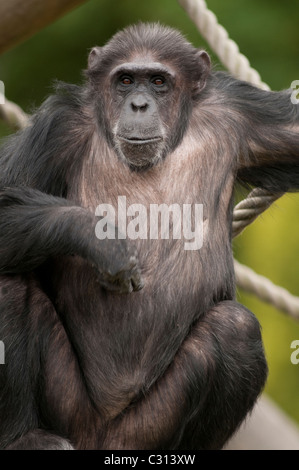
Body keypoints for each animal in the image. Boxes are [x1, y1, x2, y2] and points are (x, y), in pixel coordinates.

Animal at [0, 23, 298, 452]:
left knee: (235, 329)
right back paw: (25, 437)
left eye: (159, 82)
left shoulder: (249, 116)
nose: (139, 104)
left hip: (147, 429)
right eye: (125, 80)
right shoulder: (56, 127)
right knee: (9, 283)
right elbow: (4, 201)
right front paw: (100, 241)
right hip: (67, 409)